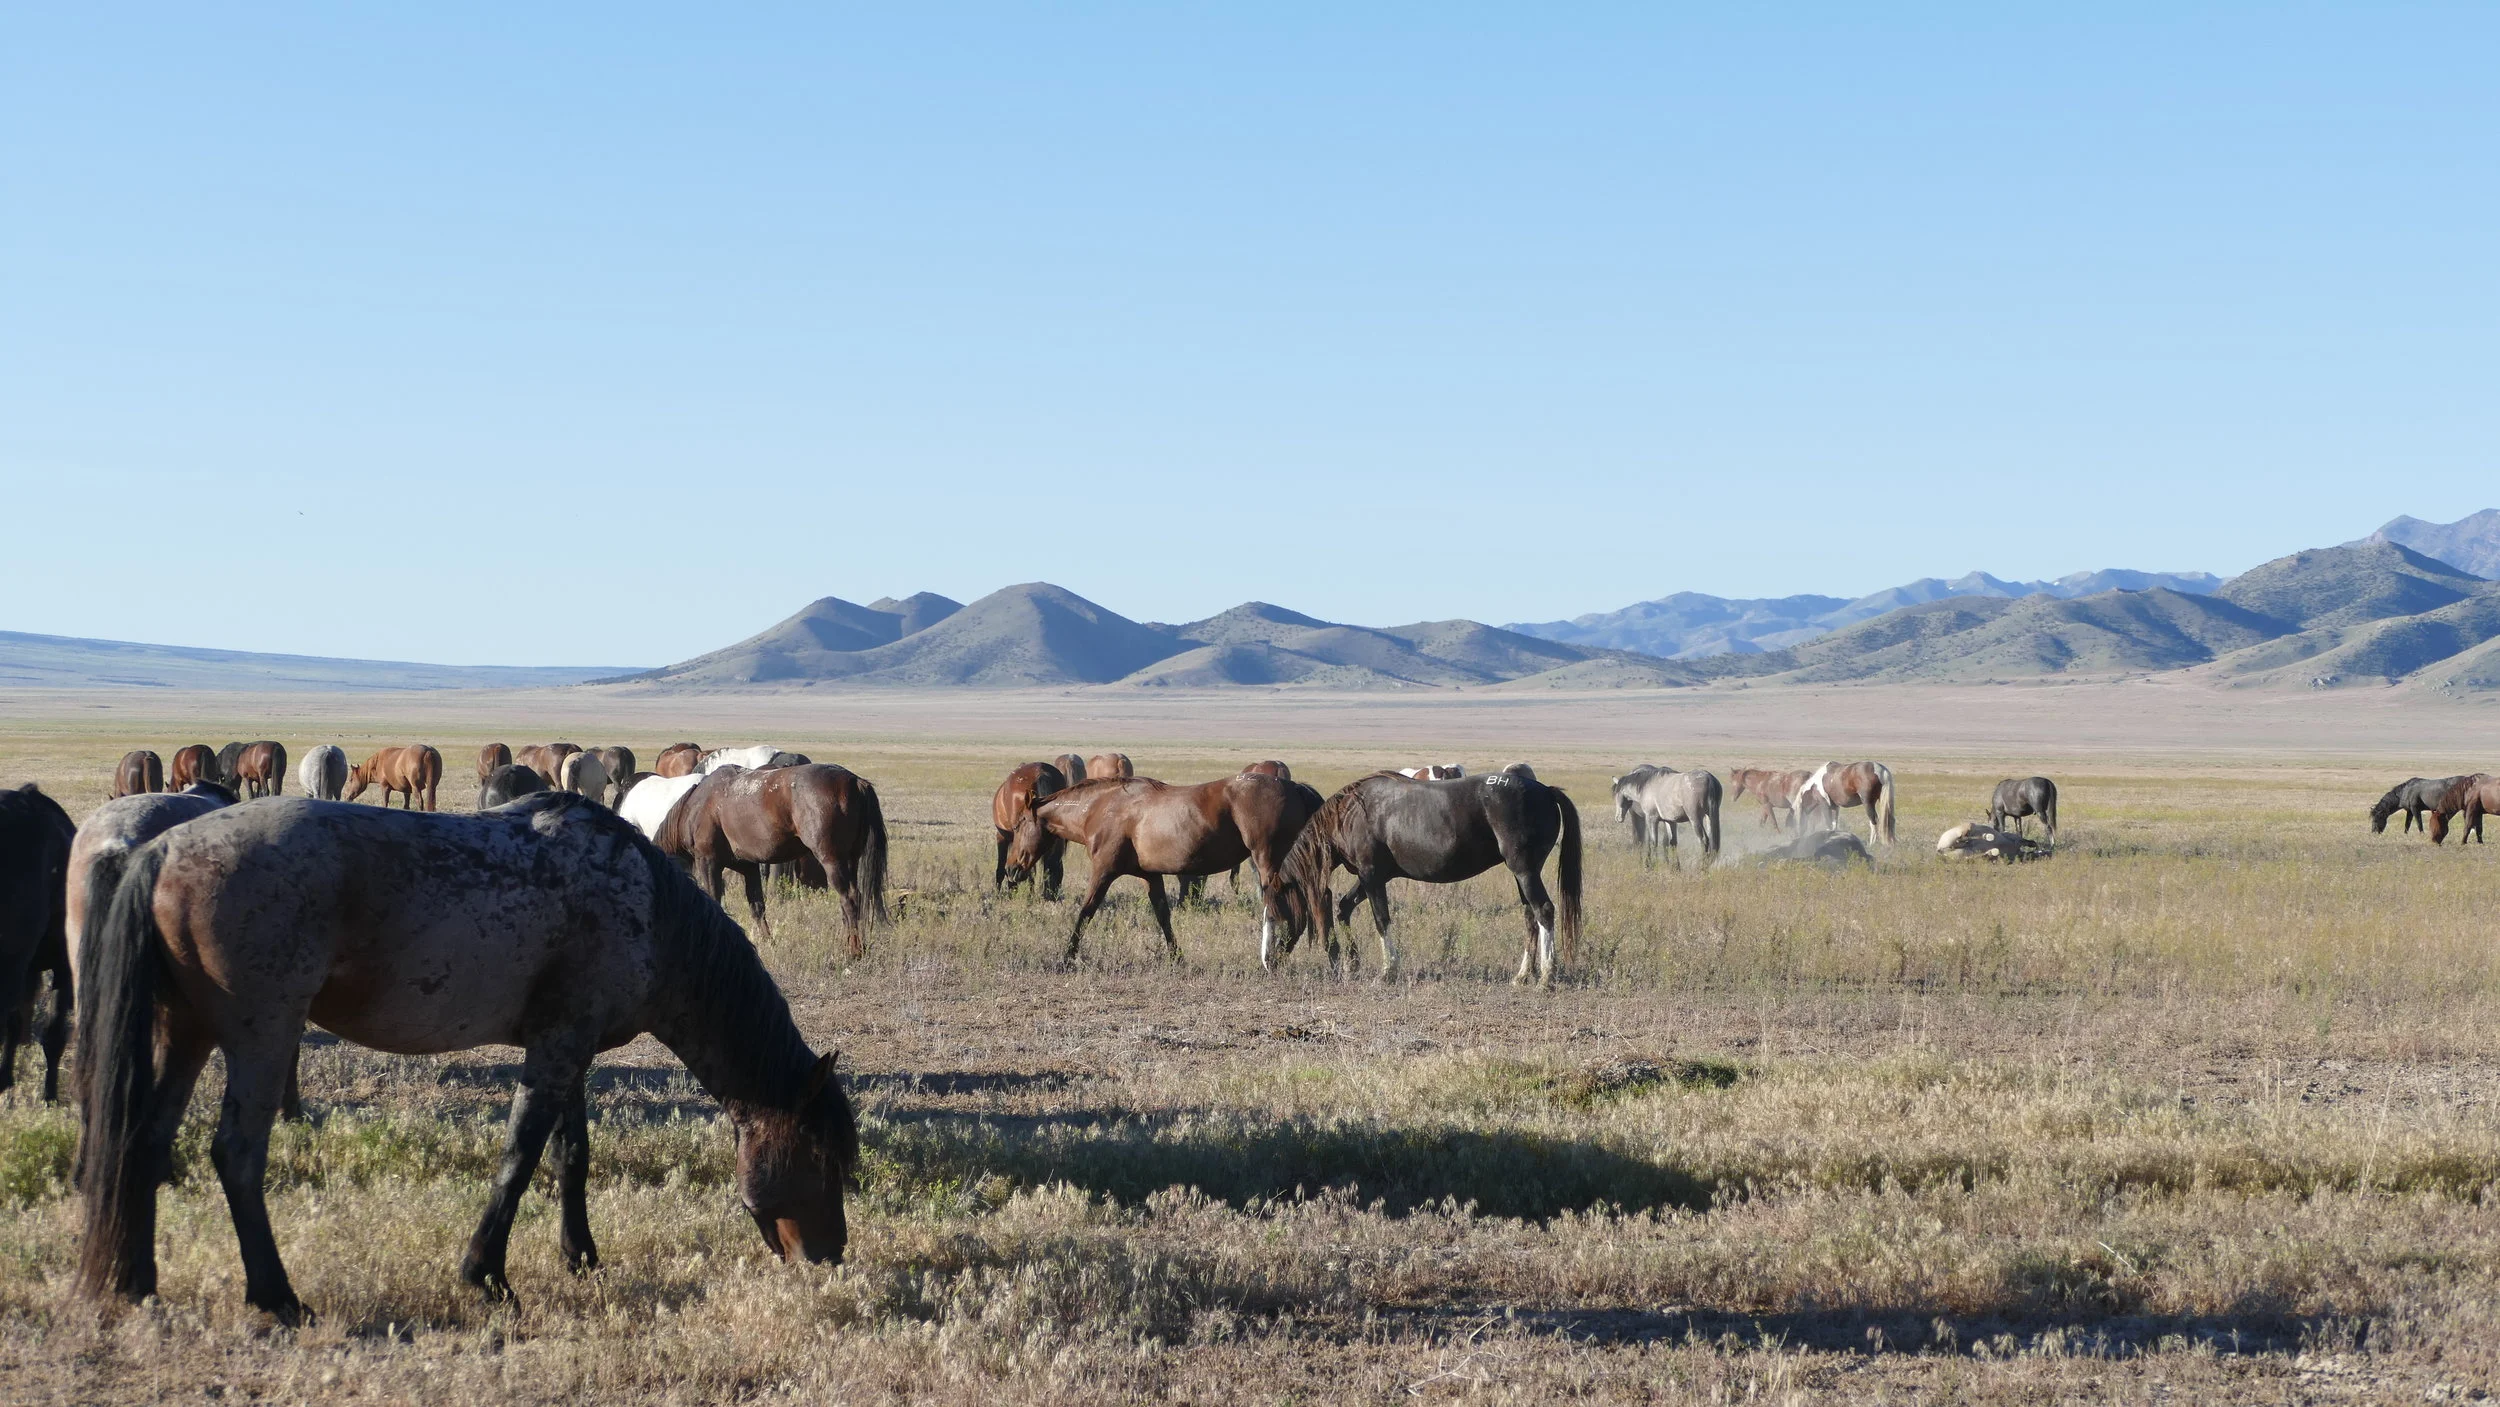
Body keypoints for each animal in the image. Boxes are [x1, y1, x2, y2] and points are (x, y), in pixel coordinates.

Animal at [72, 793, 858, 1321]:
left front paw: (580, 1255)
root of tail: (159, 850)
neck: (646, 905)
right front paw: (487, 1275)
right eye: (823, 1156)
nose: (829, 1258)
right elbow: (520, 1157)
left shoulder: (569, 1047)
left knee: (144, 1139)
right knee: (235, 1154)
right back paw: (277, 1298)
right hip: (260, 1038)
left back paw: (136, 1283)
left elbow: (571, 1154)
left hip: (184, 1033)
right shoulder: (556, 1048)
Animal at [656, 765, 888, 957]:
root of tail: (856, 781)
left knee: (849, 899)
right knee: (852, 901)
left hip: (832, 860)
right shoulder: (748, 867)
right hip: (850, 860)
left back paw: (854, 952)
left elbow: (717, 903)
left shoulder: (708, 862)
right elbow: (757, 906)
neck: (698, 805)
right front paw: (768, 942)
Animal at [1007, 774, 1321, 965]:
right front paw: (1177, 957)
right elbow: (1163, 916)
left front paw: (1067, 955)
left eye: (1020, 824)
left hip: (1268, 863)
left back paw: (1274, 958)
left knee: (1289, 910)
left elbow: (1086, 911)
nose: (1012, 869)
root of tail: (1294, 787)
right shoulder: (1151, 876)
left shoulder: (1104, 872)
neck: (1102, 808)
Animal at [1266, 765, 1580, 985]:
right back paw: (1523, 975)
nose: (1268, 963)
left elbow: (1381, 919)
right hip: (1521, 875)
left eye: (1274, 914)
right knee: (1530, 916)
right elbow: (1344, 908)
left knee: (1544, 910)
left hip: (1525, 871)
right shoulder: (1373, 877)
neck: (1351, 814)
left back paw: (1546, 977)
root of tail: (1546, 790)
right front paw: (1352, 964)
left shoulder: (1371, 876)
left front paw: (1388, 971)